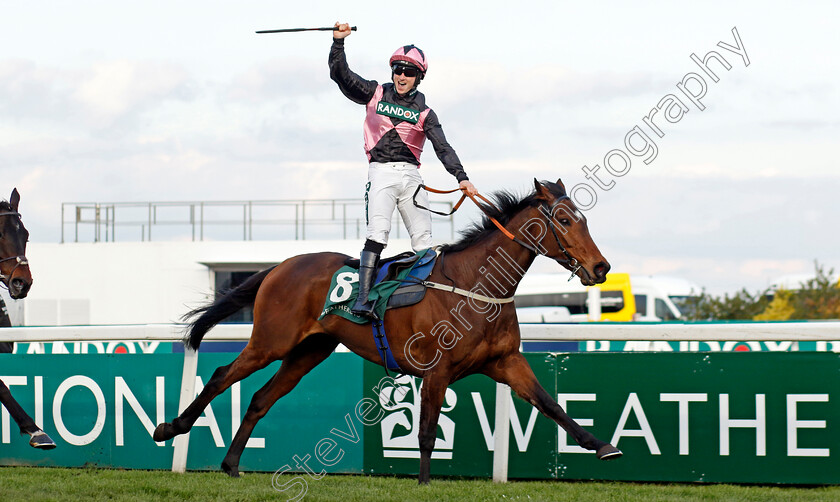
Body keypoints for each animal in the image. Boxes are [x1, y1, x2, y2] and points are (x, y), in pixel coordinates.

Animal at [154, 179, 620, 482]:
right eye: (565, 220)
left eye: (584, 219)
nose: (601, 268)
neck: (475, 286)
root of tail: (280, 265)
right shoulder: (437, 371)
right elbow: (427, 431)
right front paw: (425, 483)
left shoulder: (505, 362)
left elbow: (551, 404)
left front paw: (601, 445)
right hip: (271, 341)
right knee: (221, 376)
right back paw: (171, 428)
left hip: (308, 351)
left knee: (260, 398)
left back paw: (231, 465)